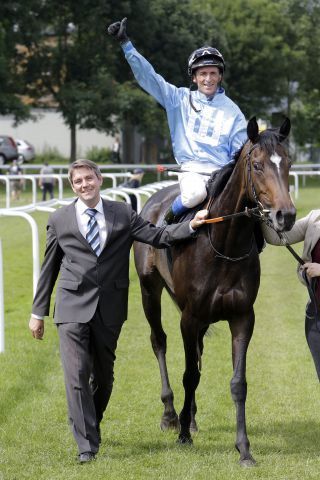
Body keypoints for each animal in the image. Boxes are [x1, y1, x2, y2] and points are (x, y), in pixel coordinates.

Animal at [132, 116, 296, 464]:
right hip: (149, 290)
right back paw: (171, 415)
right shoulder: (190, 316)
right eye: (258, 165)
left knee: (197, 353)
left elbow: (237, 382)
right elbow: (189, 374)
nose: (286, 215)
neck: (223, 243)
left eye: (288, 162)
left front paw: (244, 449)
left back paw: (190, 417)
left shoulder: (242, 317)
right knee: (159, 342)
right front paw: (182, 434)